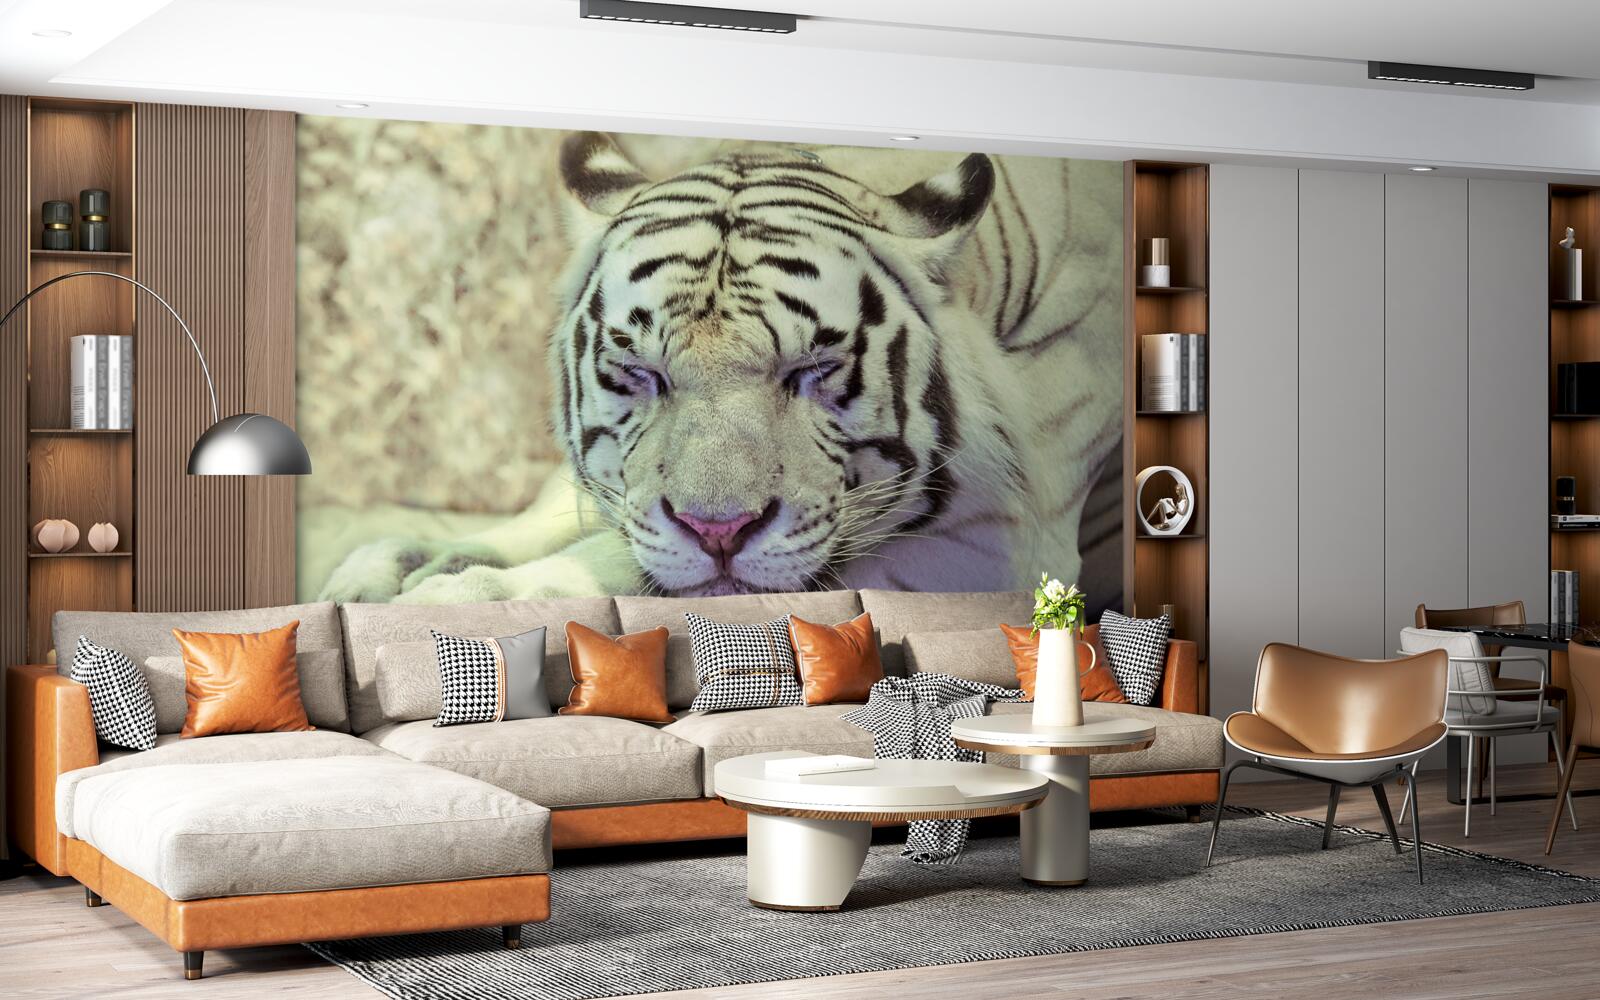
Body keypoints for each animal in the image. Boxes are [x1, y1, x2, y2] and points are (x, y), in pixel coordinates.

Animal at [317, 132, 1124, 606]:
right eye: (639, 372)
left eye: (814, 367)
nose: (720, 531)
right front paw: (384, 572)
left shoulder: (1001, 542)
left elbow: (623, 563)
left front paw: (458, 596)